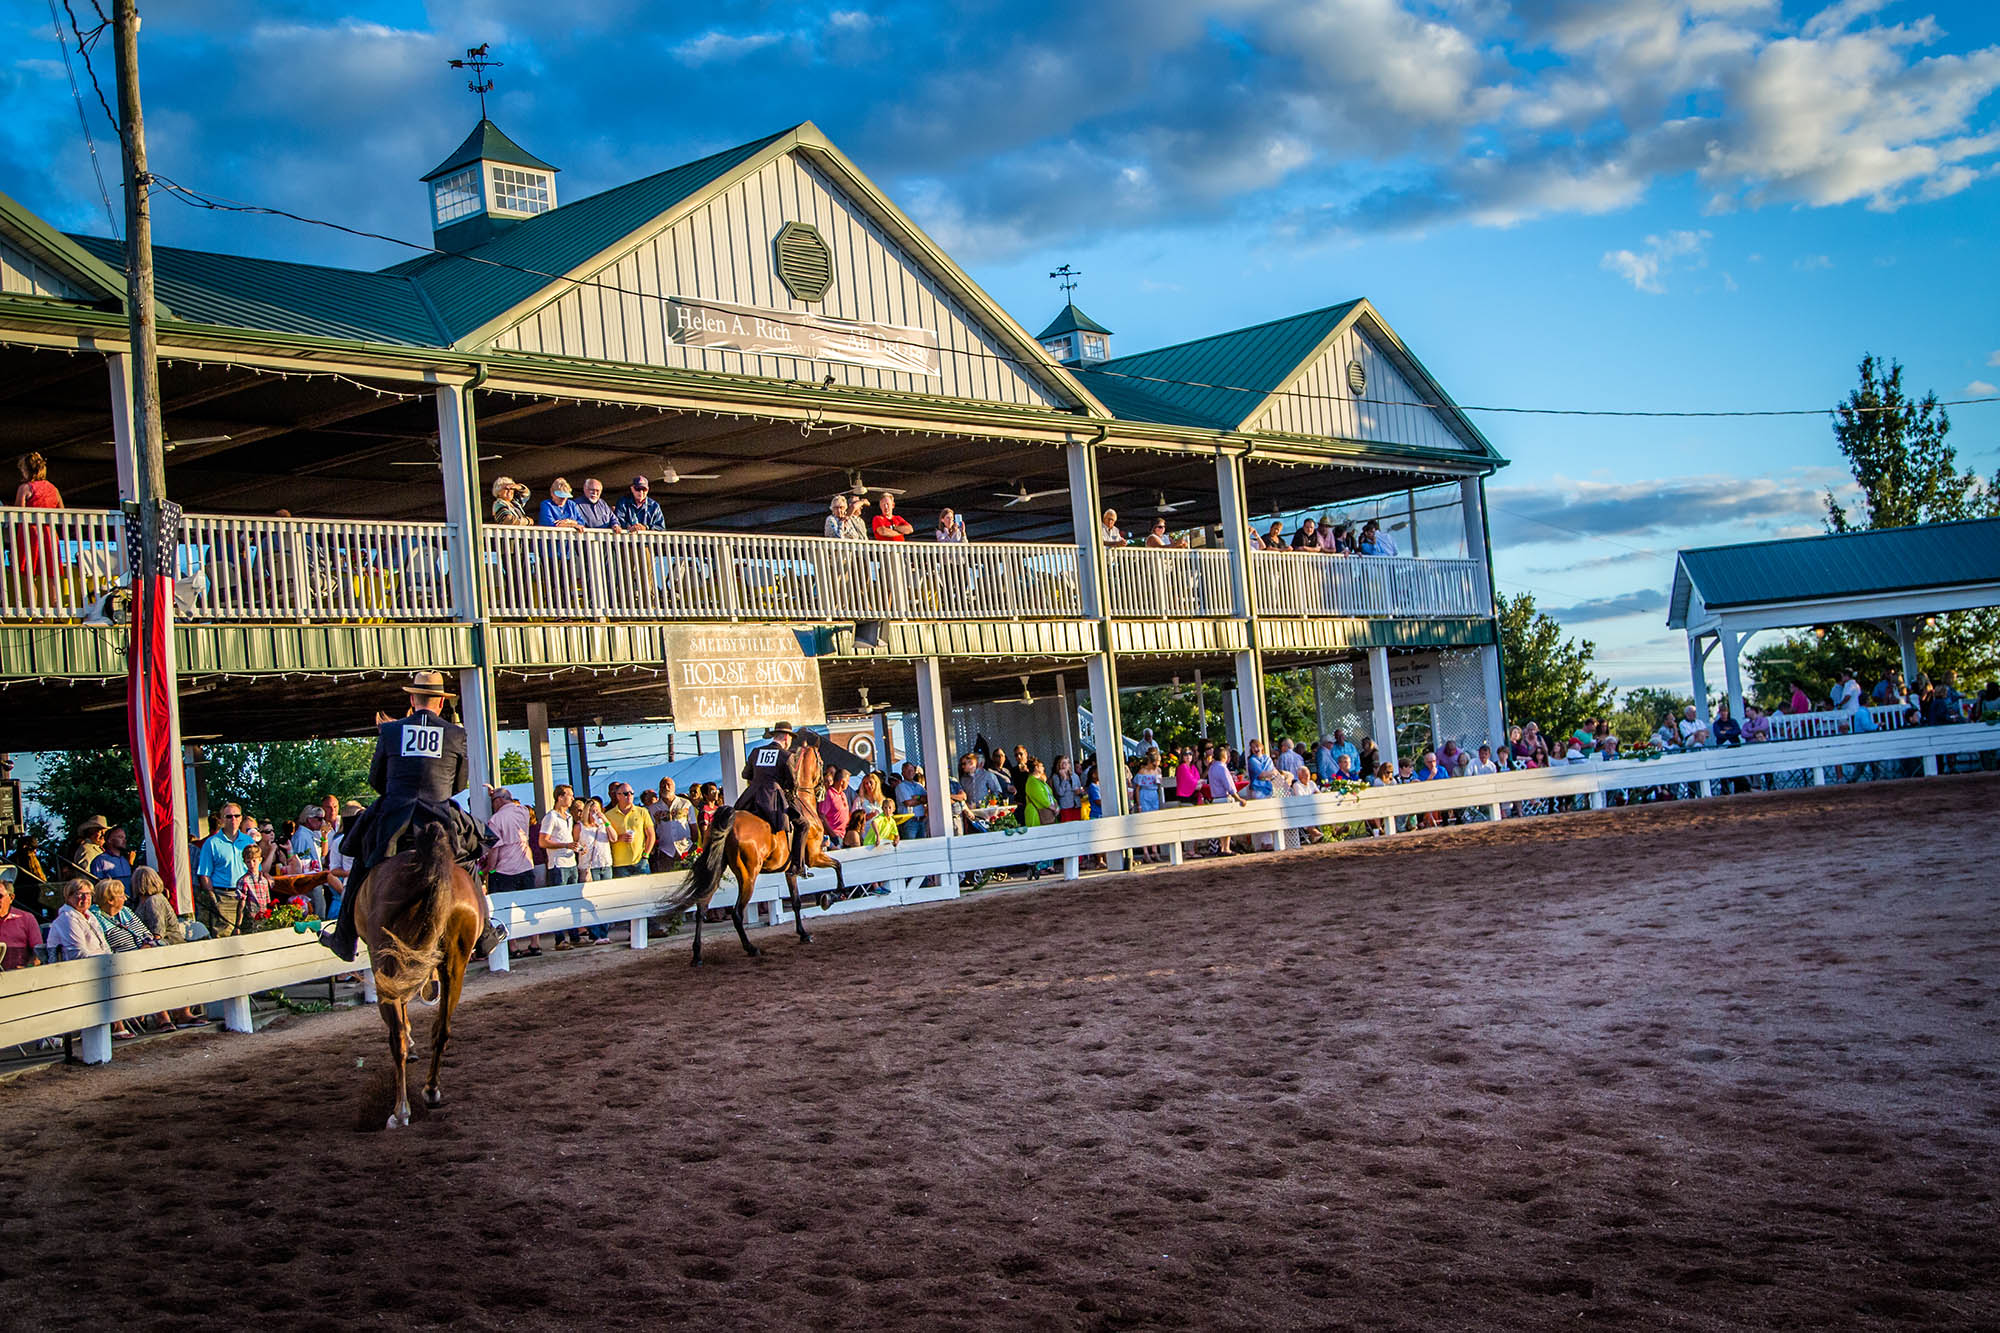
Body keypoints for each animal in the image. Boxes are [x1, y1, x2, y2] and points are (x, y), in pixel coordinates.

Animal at [354, 822, 485, 1129]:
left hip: (387, 960)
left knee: (397, 1038)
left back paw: (401, 1110)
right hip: (453, 965)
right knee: (442, 1029)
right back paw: (431, 1090)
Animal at [660, 742, 845, 966]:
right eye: (821, 762)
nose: (822, 789)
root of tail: (730, 823)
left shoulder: (790, 871)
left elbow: (797, 901)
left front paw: (803, 934)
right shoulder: (814, 856)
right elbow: (838, 867)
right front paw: (831, 897)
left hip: (717, 870)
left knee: (701, 909)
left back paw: (697, 955)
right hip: (748, 876)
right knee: (737, 913)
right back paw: (751, 948)